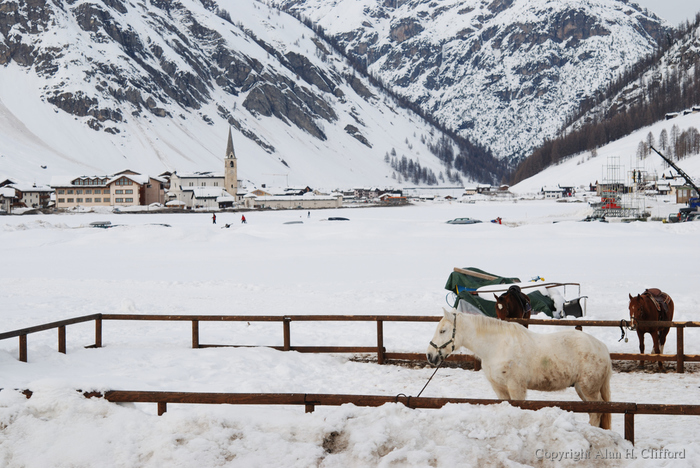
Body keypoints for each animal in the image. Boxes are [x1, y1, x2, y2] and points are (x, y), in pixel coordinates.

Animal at [424, 308, 608, 430]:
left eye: (443, 330)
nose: (430, 355)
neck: (496, 346)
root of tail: (601, 347)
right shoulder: (500, 389)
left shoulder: (516, 387)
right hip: (581, 389)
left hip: (589, 389)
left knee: (597, 413)